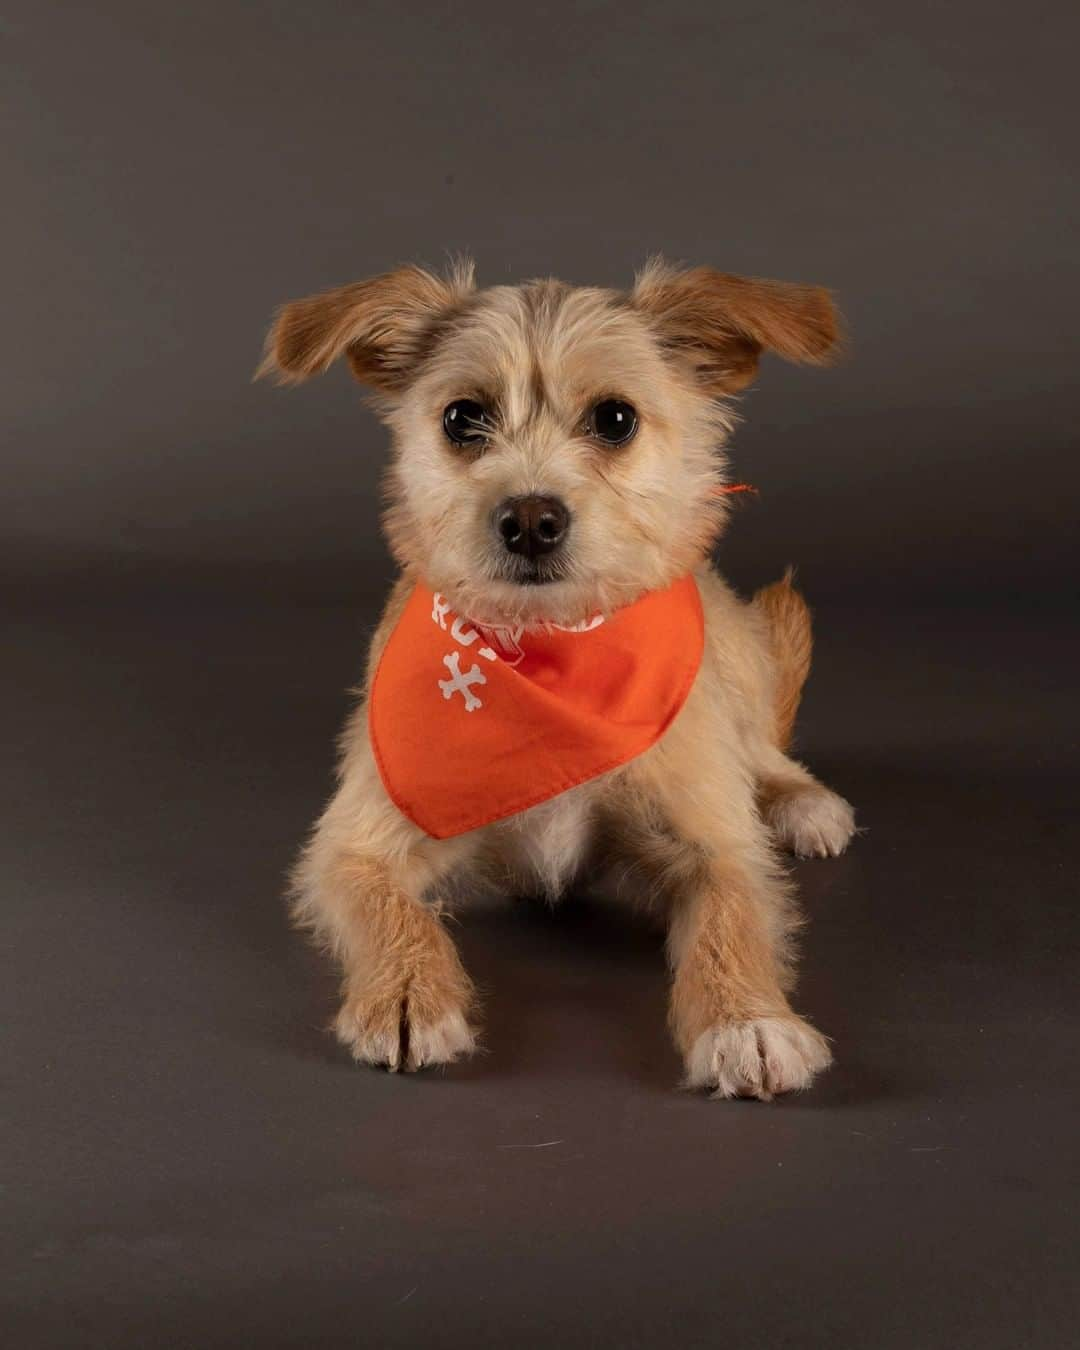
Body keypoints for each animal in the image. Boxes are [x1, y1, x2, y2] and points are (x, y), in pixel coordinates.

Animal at [259, 260, 853, 1096]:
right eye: (462, 418)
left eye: (615, 419)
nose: (532, 520)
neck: (547, 655)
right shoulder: (353, 843)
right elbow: (388, 909)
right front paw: (409, 992)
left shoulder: (719, 842)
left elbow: (731, 913)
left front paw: (747, 1019)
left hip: (736, 664)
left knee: (766, 750)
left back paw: (803, 802)